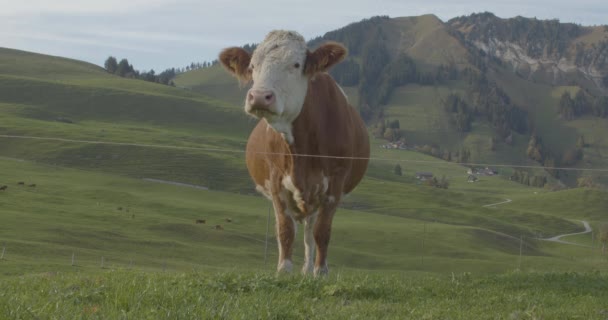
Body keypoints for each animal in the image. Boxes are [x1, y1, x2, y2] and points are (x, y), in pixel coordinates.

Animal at [220, 30, 370, 276]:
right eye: (252, 66)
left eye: (296, 64)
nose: (259, 97)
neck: (302, 151)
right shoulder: (276, 181)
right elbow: (285, 230)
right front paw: (284, 270)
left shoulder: (335, 183)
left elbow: (322, 232)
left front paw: (320, 273)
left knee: (311, 233)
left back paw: (309, 270)